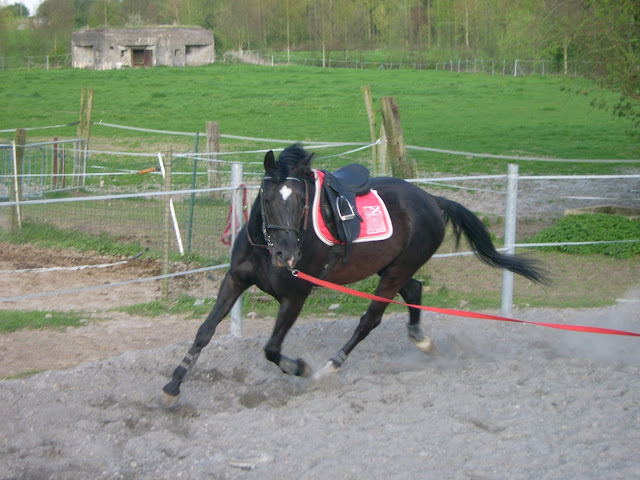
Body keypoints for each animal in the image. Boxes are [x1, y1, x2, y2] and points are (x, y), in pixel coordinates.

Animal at [160, 144, 546, 407]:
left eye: (302, 201)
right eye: (267, 199)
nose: (287, 256)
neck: (266, 248)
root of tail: (433, 201)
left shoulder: (295, 297)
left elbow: (271, 349)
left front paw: (301, 368)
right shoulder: (236, 280)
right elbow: (204, 332)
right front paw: (174, 385)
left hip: (393, 274)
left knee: (369, 320)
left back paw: (329, 368)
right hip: (391, 267)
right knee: (414, 290)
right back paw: (422, 341)